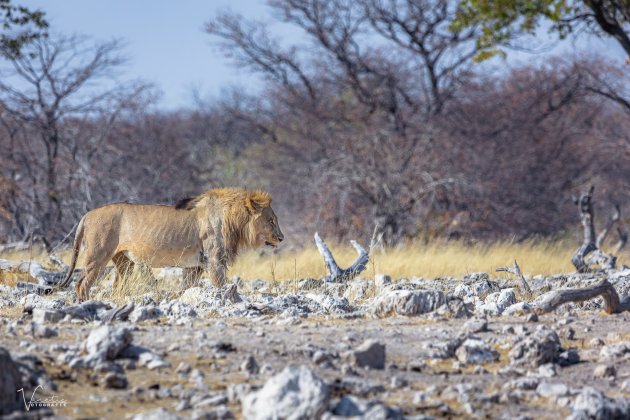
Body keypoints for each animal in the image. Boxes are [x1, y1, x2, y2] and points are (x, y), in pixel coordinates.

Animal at [60, 189, 286, 300]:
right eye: (271, 220)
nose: (281, 238)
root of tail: (87, 214)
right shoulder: (214, 261)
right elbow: (220, 286)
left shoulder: (195, 266)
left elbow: (188, 287)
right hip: (97, 256)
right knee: (81, 284)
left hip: (124, 261)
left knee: (117, 286)